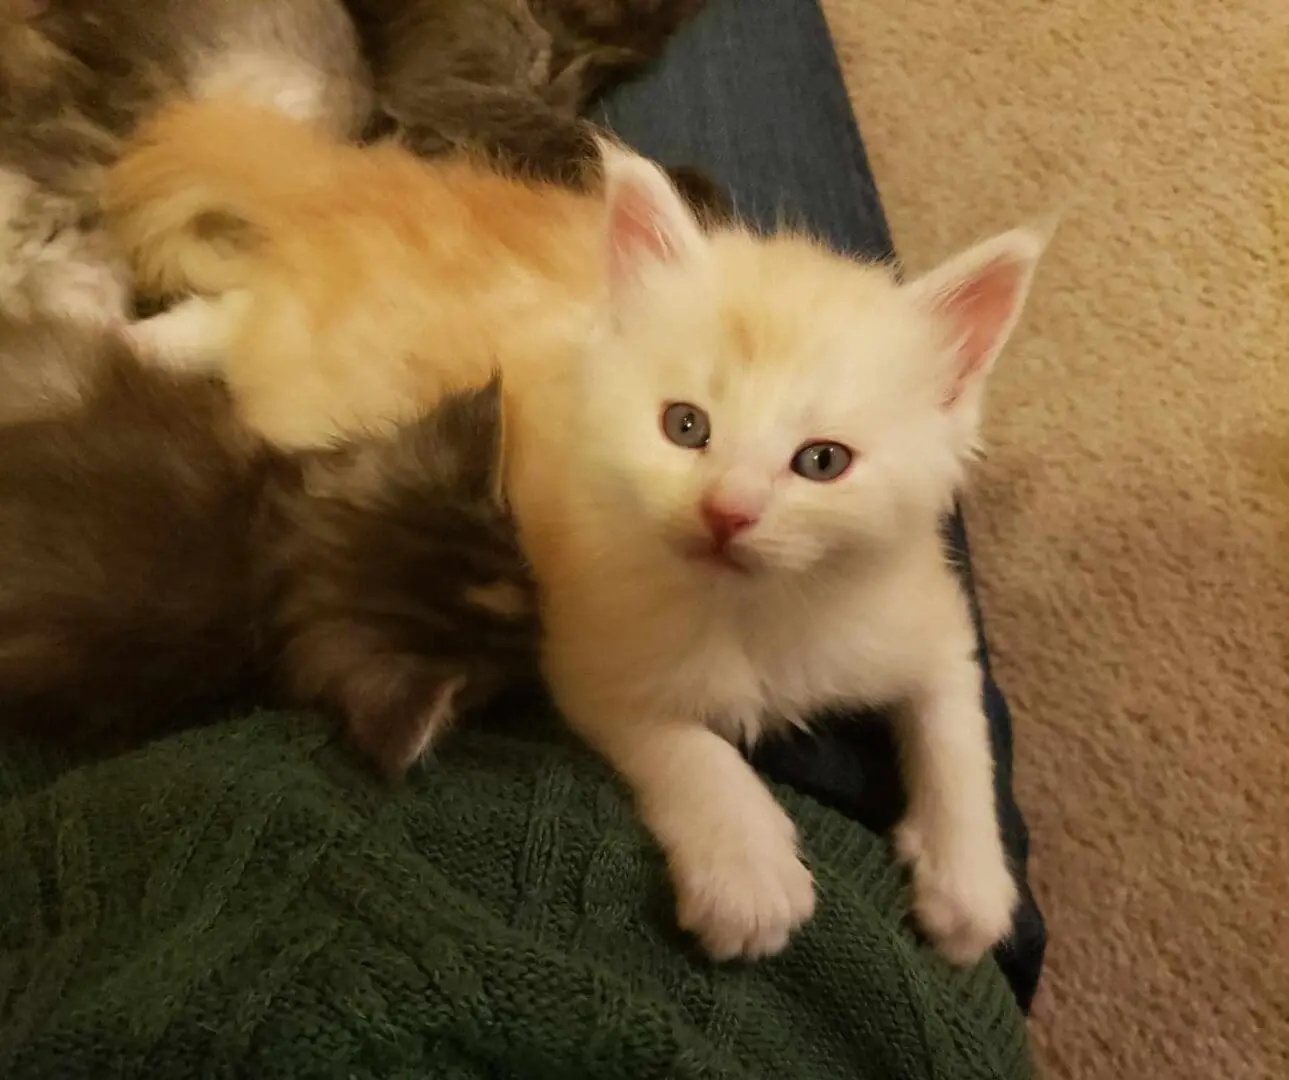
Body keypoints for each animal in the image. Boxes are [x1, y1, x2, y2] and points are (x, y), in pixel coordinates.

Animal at [100, 99, 1046, 964]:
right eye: (686, 427)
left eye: (821, 462)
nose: (726, 512)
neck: (754, 610)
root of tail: (361, 184)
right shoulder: (585, 646)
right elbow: (680, 743)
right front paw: (747, 869)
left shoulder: (916, 603)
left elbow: (955, 720)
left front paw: (967, 885)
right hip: (308, 378)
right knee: (240, 319)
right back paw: (129, 338)